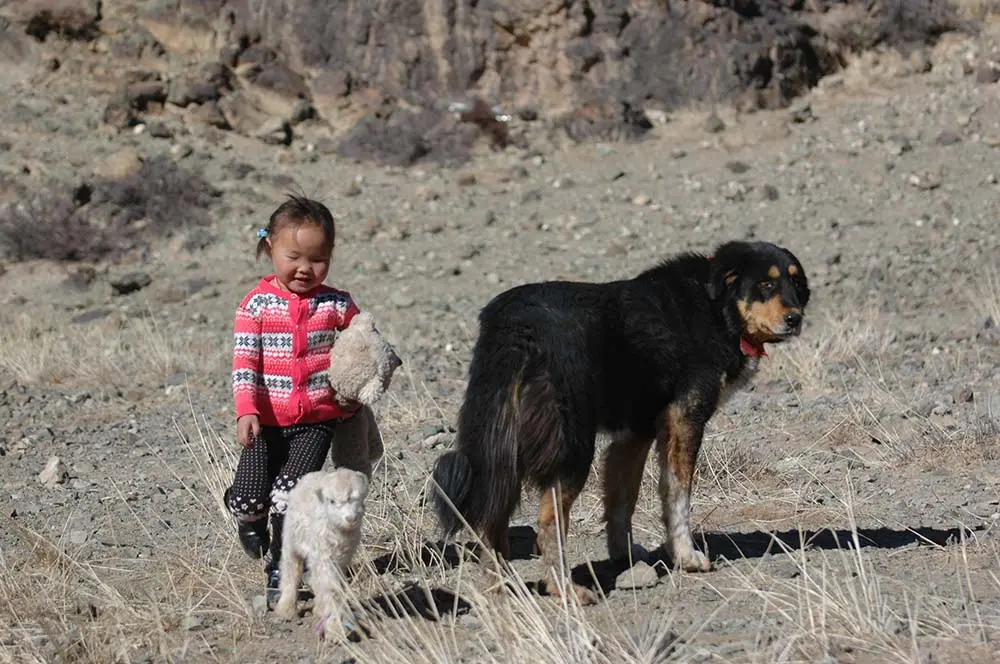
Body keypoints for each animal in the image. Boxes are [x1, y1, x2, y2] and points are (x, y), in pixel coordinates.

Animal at [274, 464, 372, 636]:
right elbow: (330, 587)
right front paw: (335, 628)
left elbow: (332, 585)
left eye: (359, 499)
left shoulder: (342, 559)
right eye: (331, 501)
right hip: (291, 540)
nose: (351, 518)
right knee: (291, 569)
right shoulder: (325, 555)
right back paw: (285, 609)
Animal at [430, 241, 804, 604]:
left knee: (491, 517)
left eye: (796, 284)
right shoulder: (684, 418)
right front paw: (686, 556)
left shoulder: (635, 432)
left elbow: (623, 499)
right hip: (571, 446)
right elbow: (677, 494)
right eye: (766, 284)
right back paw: (564, 589)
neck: (716, 306)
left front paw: (623, 554)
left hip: (502, 443)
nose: (795, 318)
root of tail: (515, 323)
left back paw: (500, 588)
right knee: (548, 522)